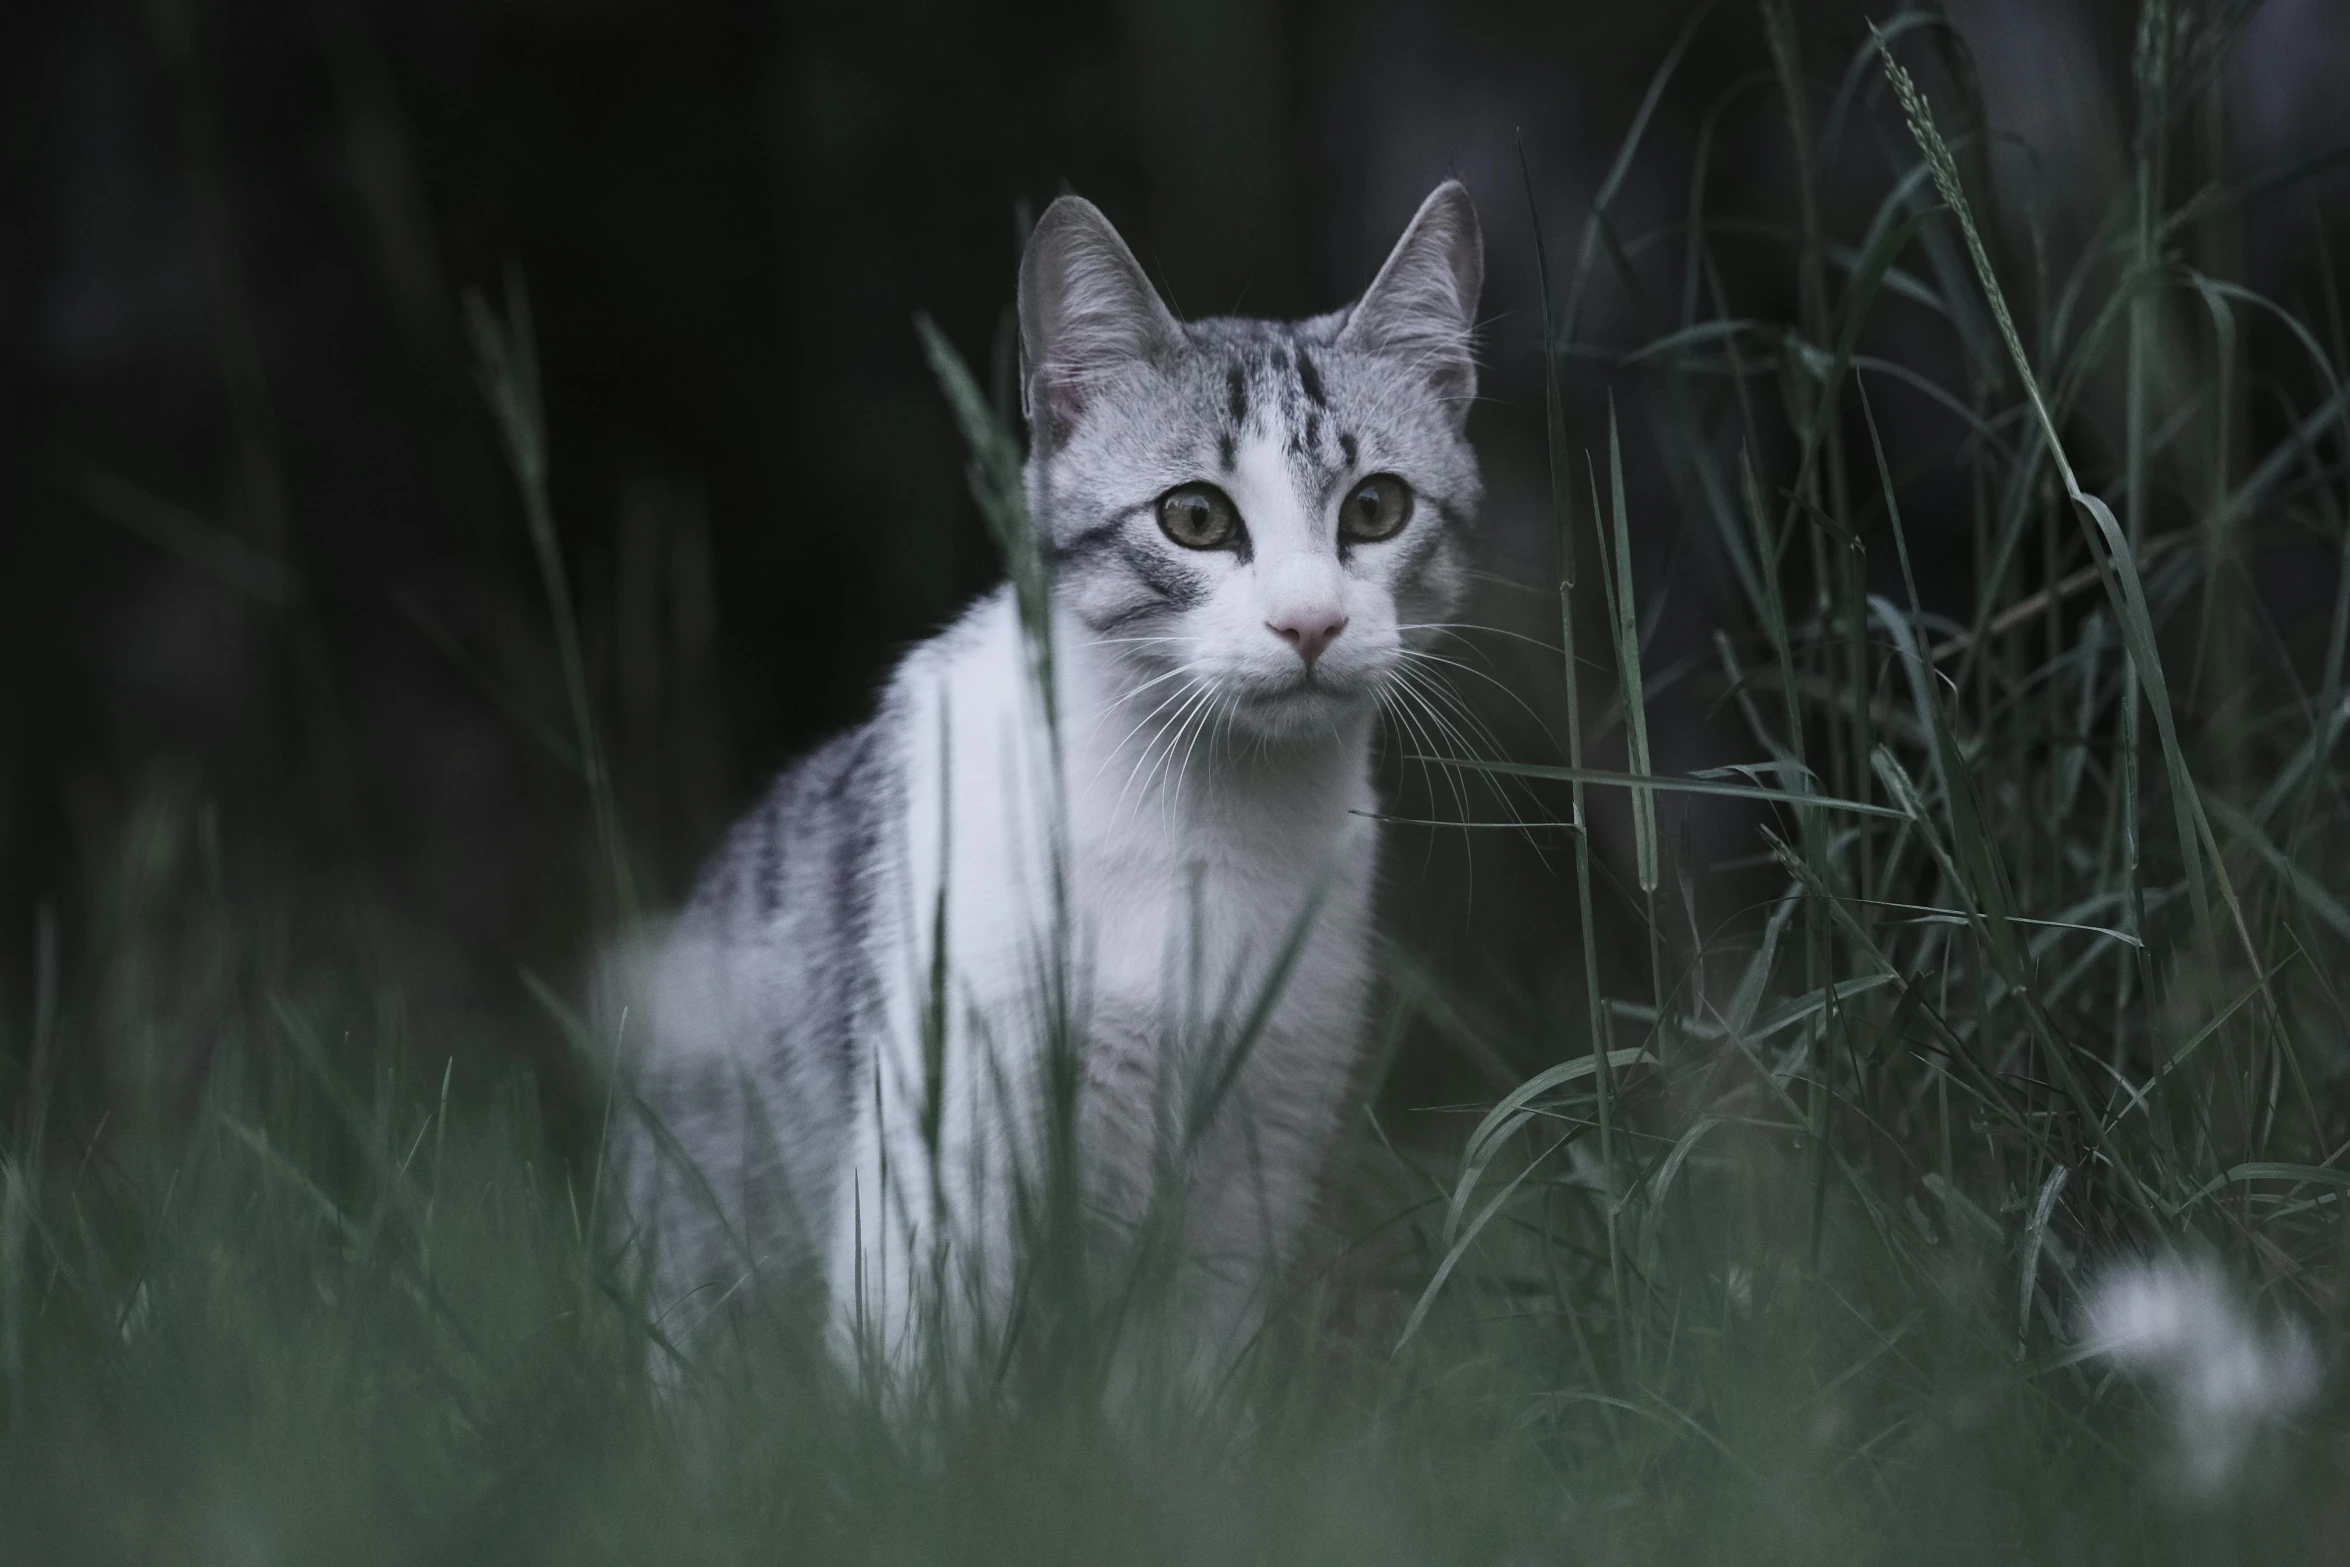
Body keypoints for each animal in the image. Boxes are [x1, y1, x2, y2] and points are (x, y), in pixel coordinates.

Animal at [615, 180, 1475, 1381]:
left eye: (1376, 508)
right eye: (1195, 517)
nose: (1309, 623)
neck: (1204, 818)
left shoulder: (1253, 1165)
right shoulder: (935, 1162)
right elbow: (921, 1381)